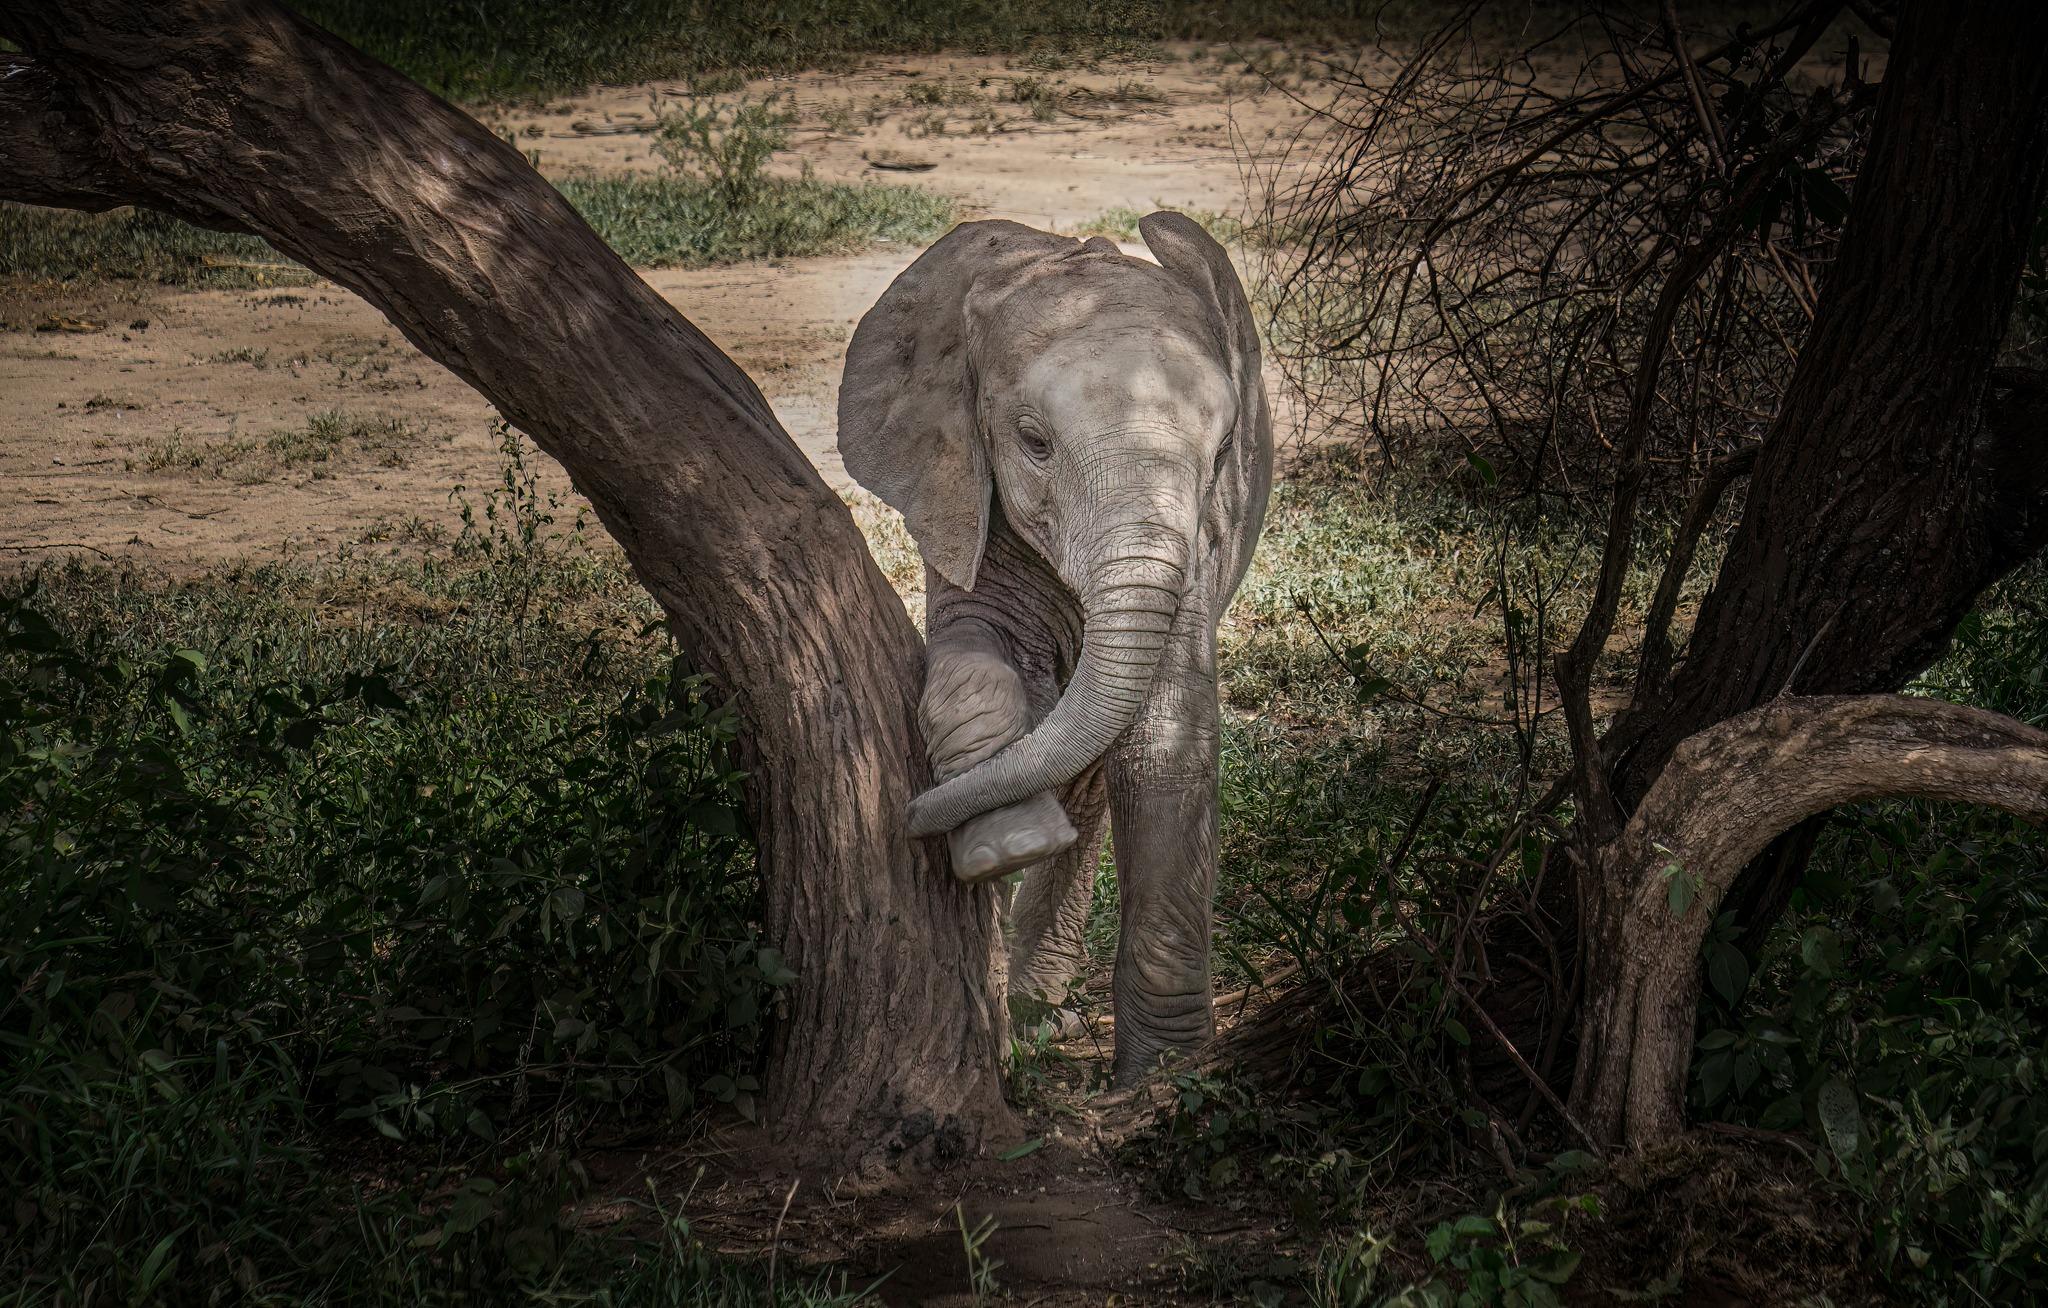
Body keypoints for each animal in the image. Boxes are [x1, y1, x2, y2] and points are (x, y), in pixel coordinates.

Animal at [837, 211, 1273, 1086]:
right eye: (1033, 442)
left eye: (1220, 457)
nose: (904, 816)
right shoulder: (958, 491)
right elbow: (969, 661)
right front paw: (1006, 846)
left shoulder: (1203, 544)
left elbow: (1163, 743)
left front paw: (1164, 1079)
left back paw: (1038, 1009)